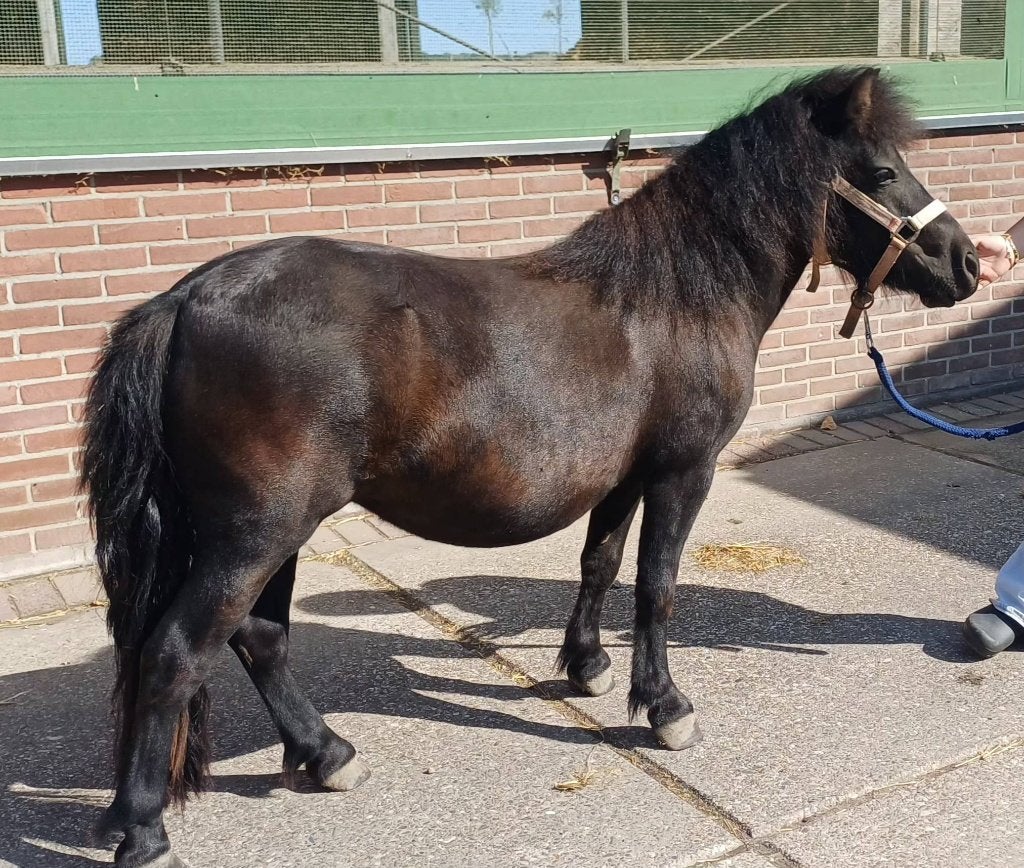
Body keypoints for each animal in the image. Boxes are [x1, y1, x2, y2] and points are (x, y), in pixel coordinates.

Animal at [82, 67, 979, 867]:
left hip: (277, 530)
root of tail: (183, 302)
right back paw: (145, 831)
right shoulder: (682, 471)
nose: (967, 263)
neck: (675, 295)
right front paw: (664, 707)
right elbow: (656, 587)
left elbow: (600, 564)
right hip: (256, 533)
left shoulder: (623, 477)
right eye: (883, 172)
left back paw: (328, 755)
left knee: (259, 638)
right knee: (176, 653)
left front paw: (586, 668)